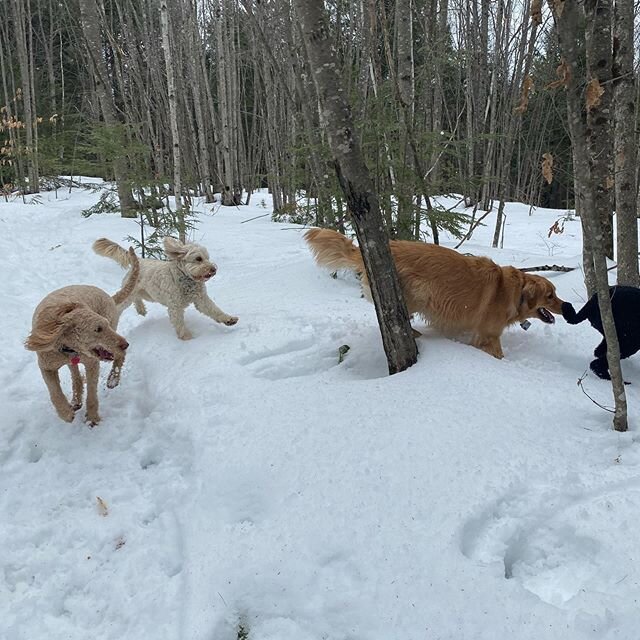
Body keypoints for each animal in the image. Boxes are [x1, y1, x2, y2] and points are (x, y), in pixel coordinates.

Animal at [26, 249, 140, 424]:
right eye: (98, 329)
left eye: (105, 325)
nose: (125, 344)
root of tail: (109, 296)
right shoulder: (46, 366)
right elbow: (55, 392)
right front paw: (65, 413)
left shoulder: (92, 363)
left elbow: (92, 394)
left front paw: (92, 418)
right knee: (76, 375)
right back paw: (76, 400)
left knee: (119, 357)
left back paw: (113, 378)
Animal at [92, 236, 238, 340]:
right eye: (198, 258)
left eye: (207, 258)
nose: (213, 269)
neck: (187, 280)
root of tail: (139, 260)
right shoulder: (175, 306)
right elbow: (179, 323)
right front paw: (188, 338)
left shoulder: (201, 300)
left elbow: (214, 310)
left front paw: (229, 319)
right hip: (130, 293)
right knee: (120, 306)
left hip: (146, 293)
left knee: (137, 299)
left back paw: (141, 311)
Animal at [302, 228, 564, 358]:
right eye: (550, 295)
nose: (565, 306)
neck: (515, 292)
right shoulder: (488, 334)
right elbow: (497, 353)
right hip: (420, 291)